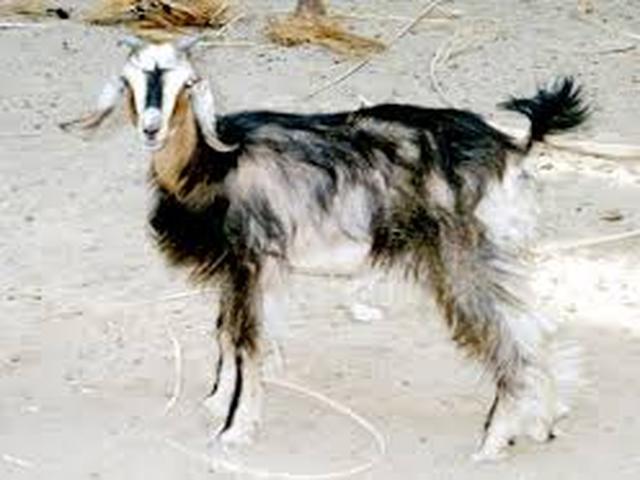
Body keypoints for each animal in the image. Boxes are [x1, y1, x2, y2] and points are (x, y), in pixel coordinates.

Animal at [62, 36, 588, 461]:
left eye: (187, 83)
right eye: (130, 81)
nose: (151, 128)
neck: (213, 164)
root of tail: (512, 148)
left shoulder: (253, 259)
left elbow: (247, 343)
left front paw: (235, 430)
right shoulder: (240, 269)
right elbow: (226, 333)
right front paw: (215, 403)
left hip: (466, 261)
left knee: (512, 336)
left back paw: (494, 442)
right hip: (498, 258)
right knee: (536, 326)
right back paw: (544, 422)